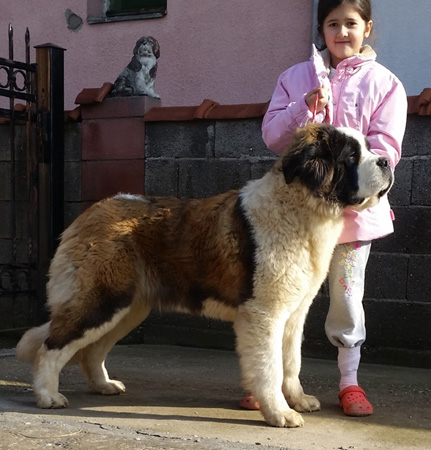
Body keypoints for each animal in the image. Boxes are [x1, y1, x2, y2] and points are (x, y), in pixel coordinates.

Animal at [16, 123, 393, 427]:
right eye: (351, 155)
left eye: (368, 147)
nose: (387, 161)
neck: (301, 208)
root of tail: (93, 211)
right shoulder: (265, 314)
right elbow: (270, 366)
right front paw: (280, 413)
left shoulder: (293, 313)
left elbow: (291, 362)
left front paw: (297, 399)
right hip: (102, 300)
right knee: (52, 346)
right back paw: (48, 397)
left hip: (127, 309)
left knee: (92, 350)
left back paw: (104, 386)